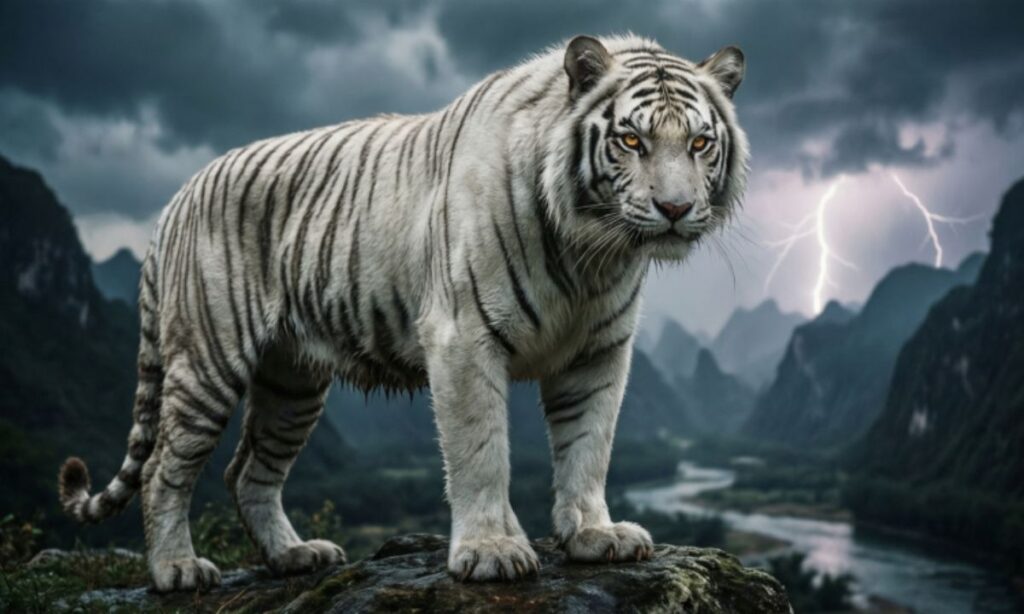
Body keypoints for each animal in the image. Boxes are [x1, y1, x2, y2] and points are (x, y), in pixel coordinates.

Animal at [58, 34, 748, 590]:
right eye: (631, 140)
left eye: (699, 143)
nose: (675, 209)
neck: (593, 253)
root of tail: (176, 197)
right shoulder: (464, 338)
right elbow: (481, 450)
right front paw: (492, 550)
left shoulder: (599, 351)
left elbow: (589, 446)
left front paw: (593, 535)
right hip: (208, 361)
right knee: (164, 470)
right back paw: (175, 569)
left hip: (292, 382)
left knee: (246, 472)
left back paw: (293, 556)